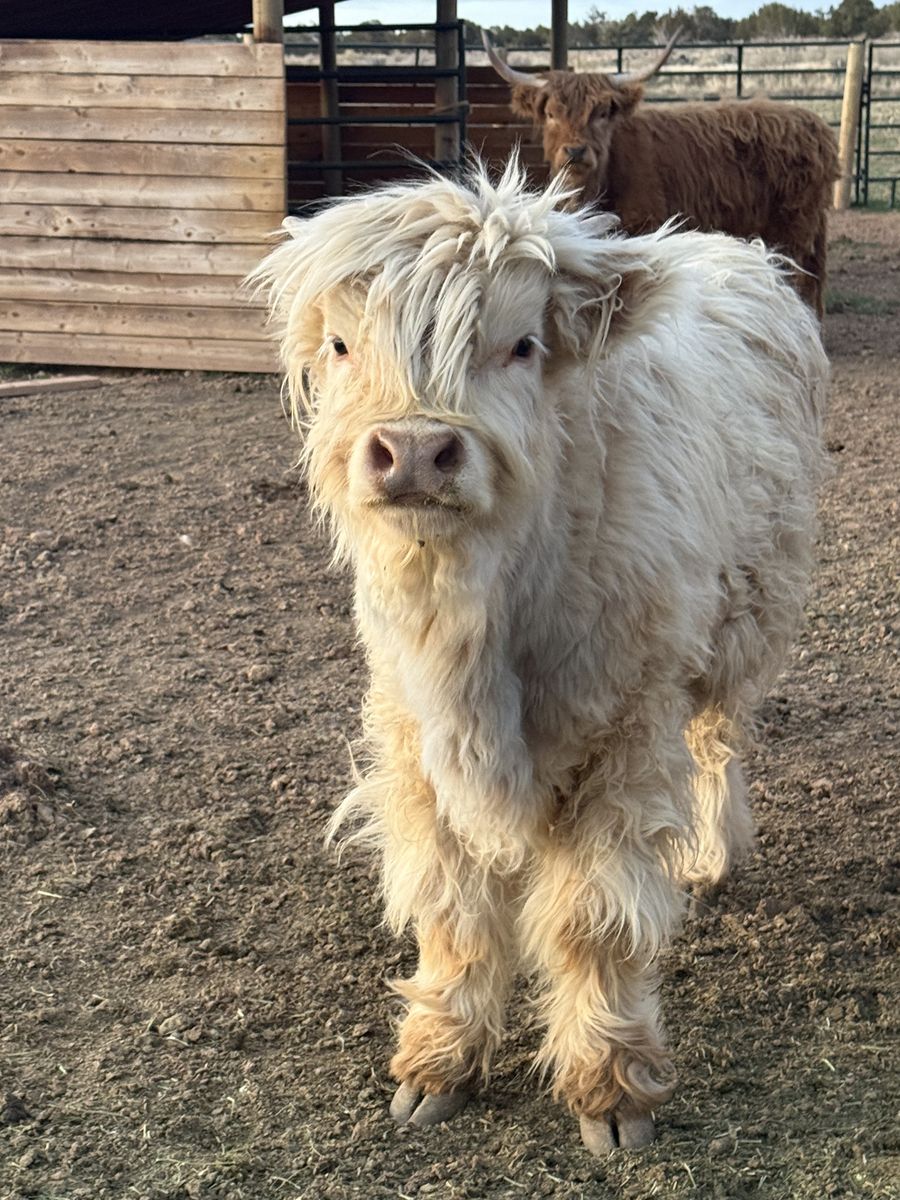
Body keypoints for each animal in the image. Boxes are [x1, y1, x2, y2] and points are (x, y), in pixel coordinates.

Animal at [251, 162, 828, 1155]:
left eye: (521, 345)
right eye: (339, 344)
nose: (415, 450)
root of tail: (734, 248)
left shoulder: (623, 725)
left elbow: (594, 916)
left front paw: (611, 1087)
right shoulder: (413, 733)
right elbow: (450, 906)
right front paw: (439, 1059)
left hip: (746, 612)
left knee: (718, 735)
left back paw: (711, 851)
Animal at [484, 32, 839, 318]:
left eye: (602, 112)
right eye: (550, 113)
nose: (575, 151)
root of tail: (816, 124)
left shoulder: (647, 226)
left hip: (792, 228)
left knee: (799, 279)